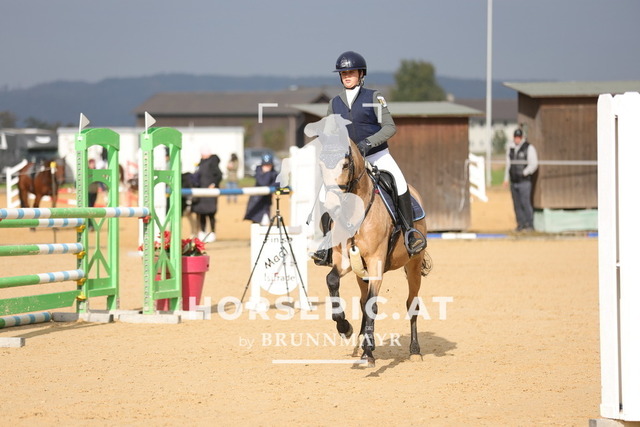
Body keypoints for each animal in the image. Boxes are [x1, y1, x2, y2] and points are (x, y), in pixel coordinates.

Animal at [314, 137, 431, 368]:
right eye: (321, 165)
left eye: (345, 165)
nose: (333, 204)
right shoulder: (345, 261)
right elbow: (332, 281)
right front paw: (344, 327)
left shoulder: (376, 262)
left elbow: (372, 305)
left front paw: (369, 353)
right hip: (362, 272)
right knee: (361, 301)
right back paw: (360, 343)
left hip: (413, 264)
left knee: (411, 303)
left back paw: (414, 350)